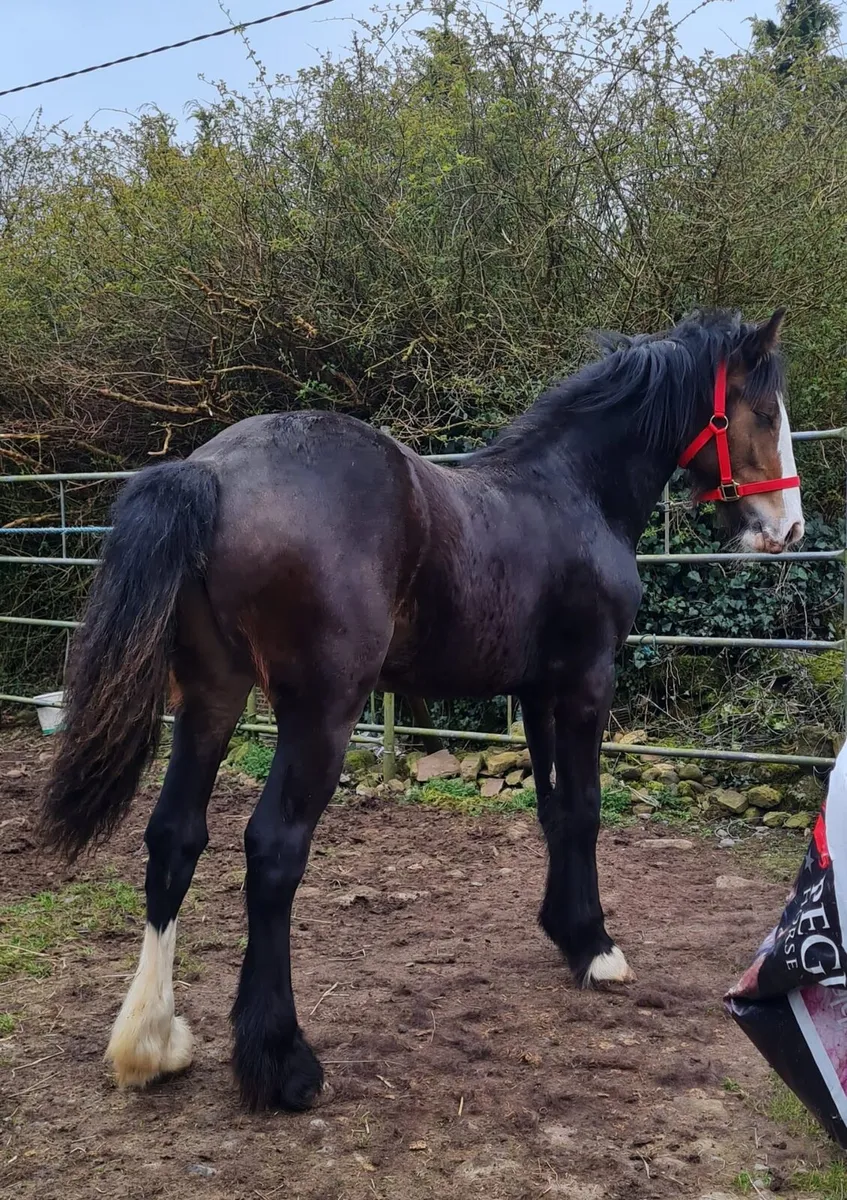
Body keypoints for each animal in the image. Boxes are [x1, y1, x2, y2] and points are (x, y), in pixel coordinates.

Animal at [41, 307, 804, 1112]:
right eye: (762, 408)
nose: (788, 530)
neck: (571, 492)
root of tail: (212, 472)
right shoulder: (587, 683)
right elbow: (587, 808)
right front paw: (597, 949)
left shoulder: (535, 690)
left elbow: (554, 811)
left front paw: (565, 931)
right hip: (322, 712)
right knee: (273, 850)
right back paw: (281, 1061)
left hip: (211, 699)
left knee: (174, 838)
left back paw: (150, 1043)